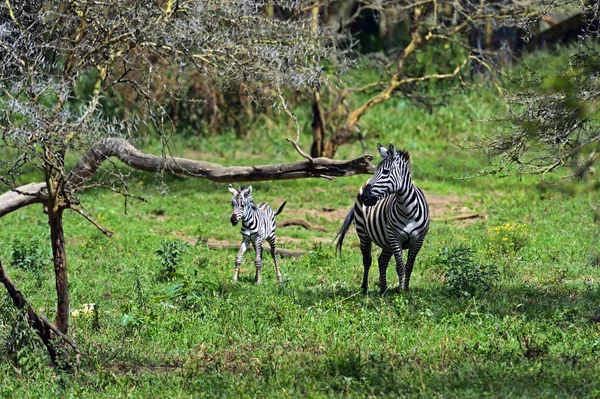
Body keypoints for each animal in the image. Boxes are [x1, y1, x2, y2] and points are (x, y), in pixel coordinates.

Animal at [336, 144, 428, 294]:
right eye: (375, 170)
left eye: (385, 172)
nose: (365, 197)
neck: (407, 210)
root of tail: (365, 181)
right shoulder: (395, 238)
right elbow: (400, 266)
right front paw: (400, 291)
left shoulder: (418, 240)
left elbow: (409, 266)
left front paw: (406, 290)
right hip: (364, 233)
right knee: (367, 260)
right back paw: (364, 288)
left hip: (386, 241)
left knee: (382, 261)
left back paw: (383, 289)